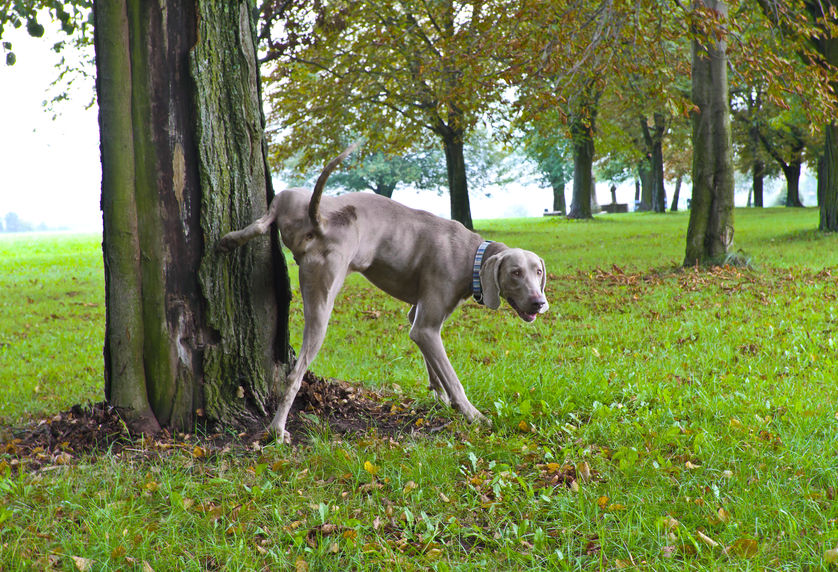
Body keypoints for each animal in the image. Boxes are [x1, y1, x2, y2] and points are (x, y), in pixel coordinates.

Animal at [218, 144, 552, 442]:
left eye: (538, 271)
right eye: (515, 273)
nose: (540, 303)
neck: (472, 255)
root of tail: (321, 221)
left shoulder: (419, 318)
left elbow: (433, 365)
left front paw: (440, 398)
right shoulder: (427, 326)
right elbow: (452, 377)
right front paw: (472, 415)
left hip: (293, 194)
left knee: (264, 220)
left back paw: (229, 240)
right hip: (323, 298)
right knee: (294, 374)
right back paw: (276, 430)